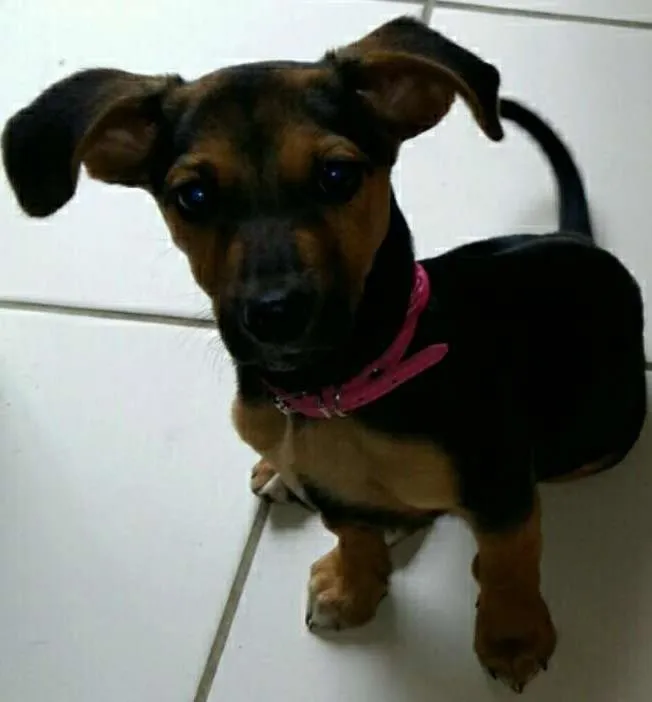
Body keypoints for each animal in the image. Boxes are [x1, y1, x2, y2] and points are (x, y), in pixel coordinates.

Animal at [2, 16, 646, 693]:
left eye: (337, 176)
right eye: (193, 196)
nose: (275, 313)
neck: (338, 388)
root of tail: (577, 238)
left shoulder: (500, 486)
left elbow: (508, 559)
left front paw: (512, 634)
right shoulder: (330, 484)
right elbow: (352, 531)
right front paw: (354, 584)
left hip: (596, 445)